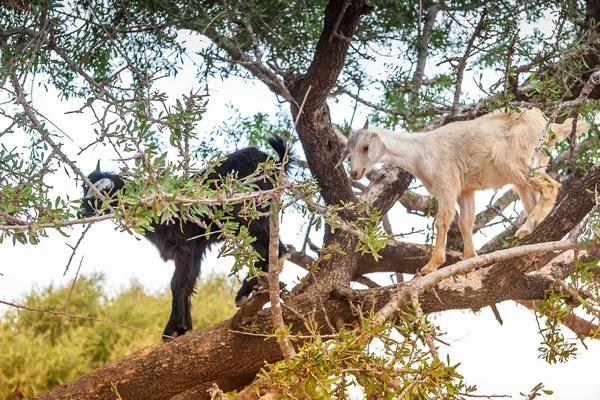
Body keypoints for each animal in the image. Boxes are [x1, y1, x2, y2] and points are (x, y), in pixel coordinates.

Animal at [79, 136, 292, 340]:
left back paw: (244, 292)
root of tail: (271, 161)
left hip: (246, 212)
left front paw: (173, 329)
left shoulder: (183, 246)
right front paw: (182, 325)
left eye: (99, 194)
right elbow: (187, 282)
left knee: (270, 247)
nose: (81, 212)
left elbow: (176, 283)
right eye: (83, 189)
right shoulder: (195, 250)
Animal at [338, 106, 592, 276]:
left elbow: (442, 221)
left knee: (550, 186)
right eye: (348, 149)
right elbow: (465, 222)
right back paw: (533, 231)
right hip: (533, 163)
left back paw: (526, 228)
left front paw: (431, 266)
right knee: (534, 198)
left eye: (366, 147)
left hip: (514, 159)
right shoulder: (465, 190)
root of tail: (550, 125)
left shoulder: (447, 184)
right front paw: (470, 261)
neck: (419, 152)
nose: (355, 173)